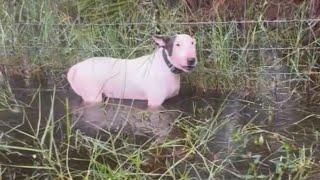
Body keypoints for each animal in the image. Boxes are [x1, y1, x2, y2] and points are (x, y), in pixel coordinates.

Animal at [67, 34, 196, 109]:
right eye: (177, 44)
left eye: (193, 43)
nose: (191, 60)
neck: (166, 66)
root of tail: (75, 68)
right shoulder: (154, 103)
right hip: (92, 96)